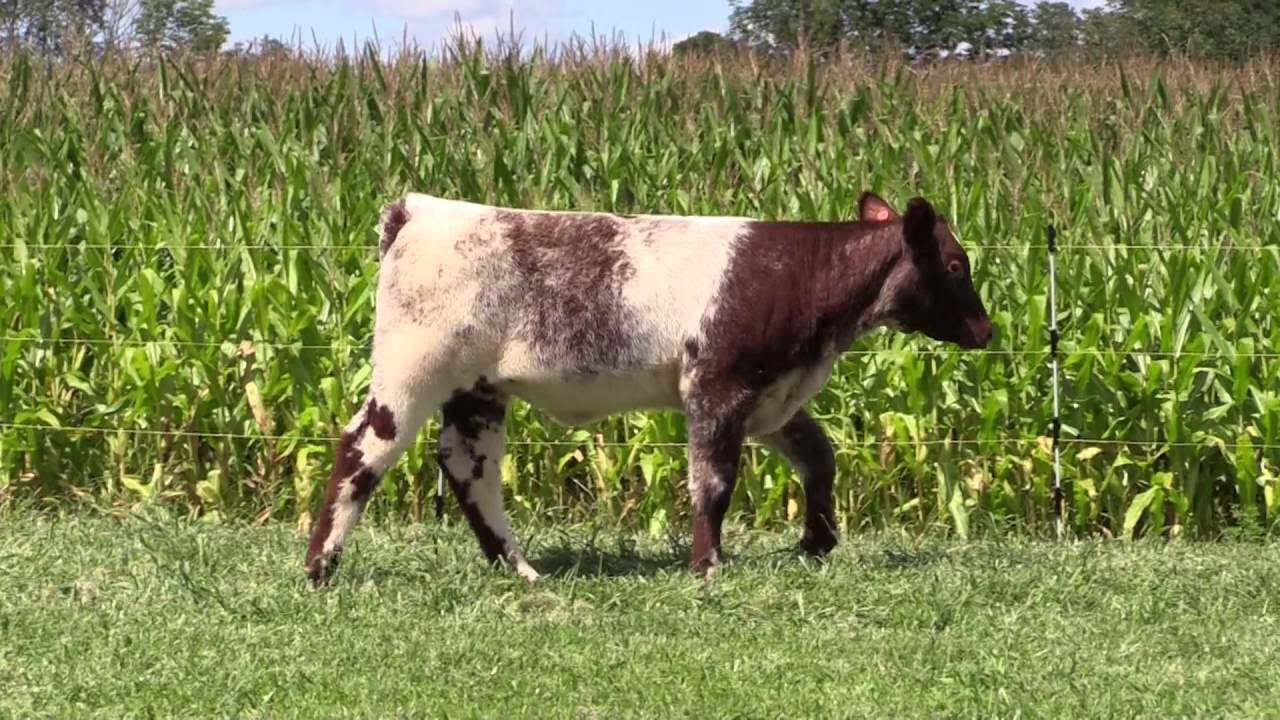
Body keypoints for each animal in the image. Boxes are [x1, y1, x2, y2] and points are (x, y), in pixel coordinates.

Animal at [303, 191, 993, 584]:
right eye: (956, 264)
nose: (986, 330)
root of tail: (417, 209)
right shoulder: (718, 386)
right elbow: (712, 482)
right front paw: (707, 566)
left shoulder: (771, 397)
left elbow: (820, 457)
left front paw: (817, 542)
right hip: (412, 366)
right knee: (364, 448)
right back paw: (320, 568)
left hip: (477, 388)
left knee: (470, 468)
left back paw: (520, 571)